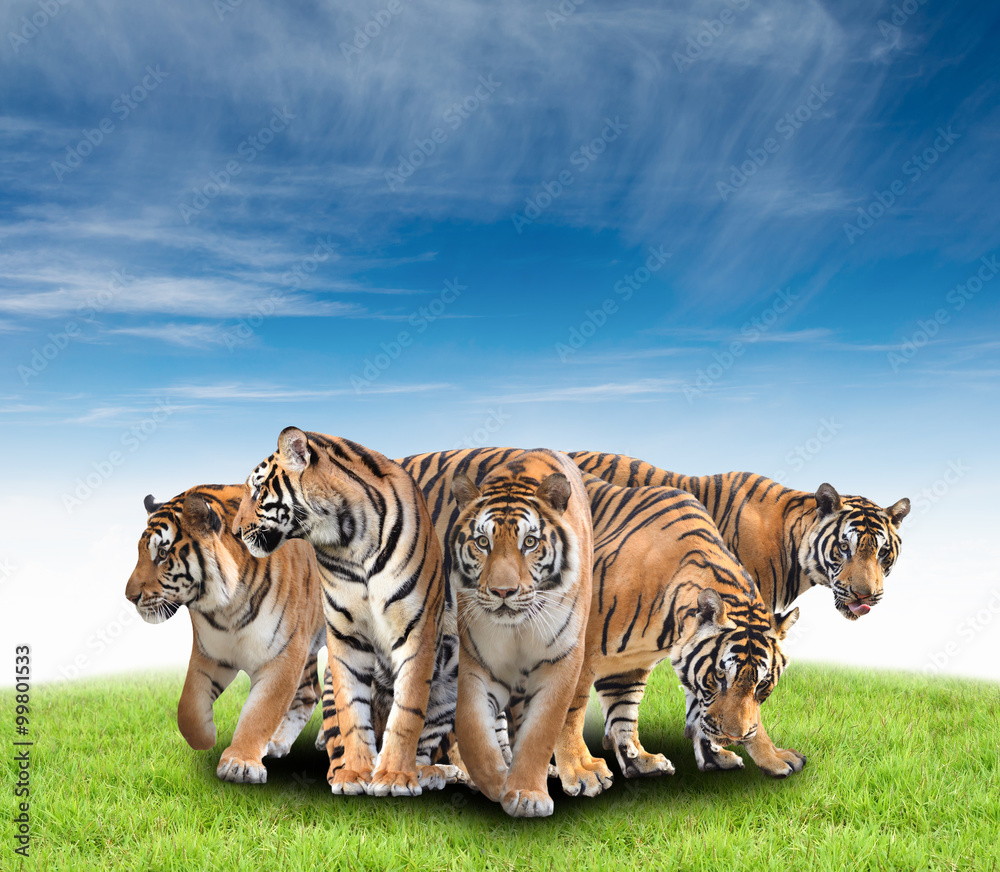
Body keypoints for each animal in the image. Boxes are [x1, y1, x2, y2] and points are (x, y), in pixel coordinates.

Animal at [125, 484, 325, 784]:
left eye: (162, 553)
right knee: (309, 693)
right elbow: (188, 708)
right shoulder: (210, 654)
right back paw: (278, 742)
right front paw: (207, 737)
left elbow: (261, 711)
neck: (227, 609)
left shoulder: (284, 655)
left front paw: (240, 763)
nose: (129, 597)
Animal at [232, 427, 460, 798]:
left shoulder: (417, 631)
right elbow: (351, 710)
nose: (235, 532)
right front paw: (354, 773)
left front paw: (394, 777)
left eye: (258, 489)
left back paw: (428, 773)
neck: (348, 539)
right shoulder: (345, 635)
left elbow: (407, 712)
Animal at [448, 449, 593, 818]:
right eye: (482, 542)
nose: (503, 591)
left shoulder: (561, 662)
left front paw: (527, 793)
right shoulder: (476, 664)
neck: (518, 627)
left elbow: (540, 731)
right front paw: (499, 784)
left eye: (529, 542)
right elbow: (472, 730)